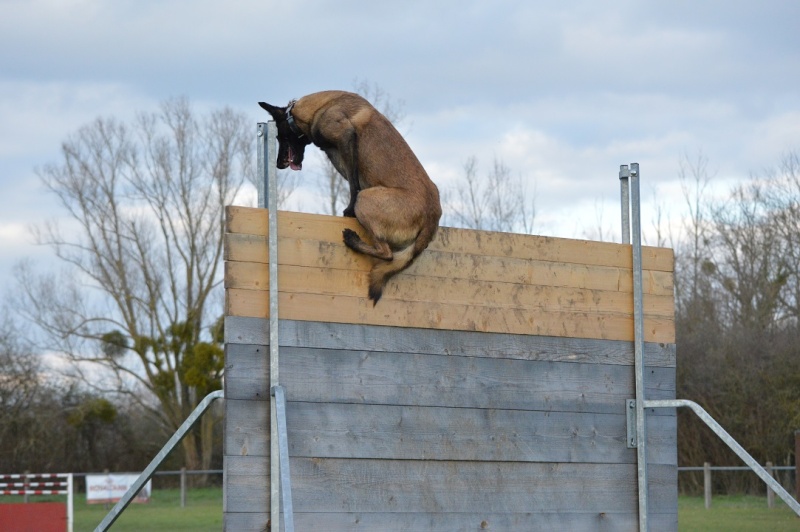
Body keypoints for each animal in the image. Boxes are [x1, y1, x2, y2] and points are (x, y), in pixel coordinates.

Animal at [260, 91, 440, 304]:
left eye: (280, 136)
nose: (279, 164)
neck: (321, 107)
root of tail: (433, 215)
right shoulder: (335, 152)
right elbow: (351, 178)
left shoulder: (346, 138)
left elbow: (353, 185)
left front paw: (348, 211)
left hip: (366, 200)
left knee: (387, 254)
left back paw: (353, 240)